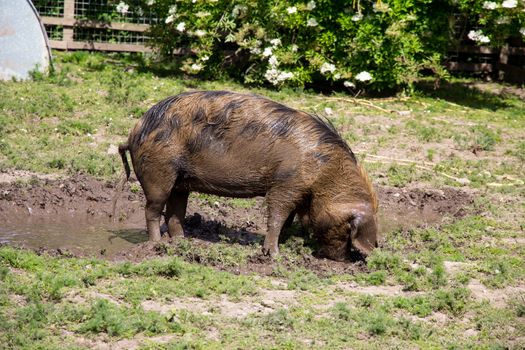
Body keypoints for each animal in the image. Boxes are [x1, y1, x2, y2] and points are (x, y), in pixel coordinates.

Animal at [118, 90, 376, 260]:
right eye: (348, 226)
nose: (343, 260)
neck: (325, 174)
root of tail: (134, 131)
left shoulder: (299, 191)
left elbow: (288, 218)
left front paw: (283, 242)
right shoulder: (286, 182)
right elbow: (277, 213)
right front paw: (274, 254)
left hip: (181, 182)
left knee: (174, 212)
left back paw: (182, 242)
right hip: (158, 173)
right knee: (152, 210)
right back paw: (156, 245)